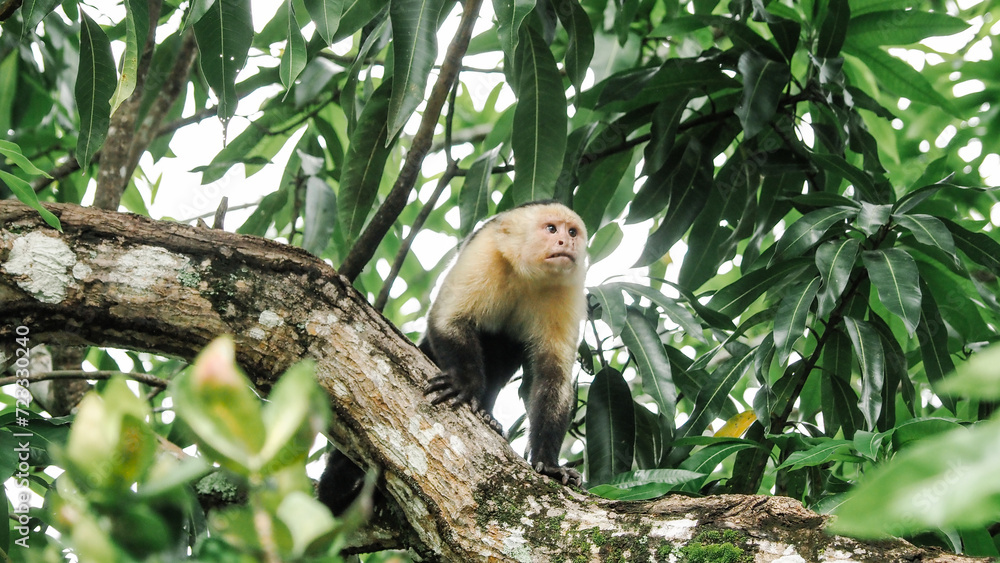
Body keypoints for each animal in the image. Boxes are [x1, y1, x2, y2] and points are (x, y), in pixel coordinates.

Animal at [318, 200, 588, 514]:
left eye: (572, 231)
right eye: (551, 229)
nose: (566, 241)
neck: (528, 276)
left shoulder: (569, 288)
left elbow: (553, 376)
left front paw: (550, 466)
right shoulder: (485, 251)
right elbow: (449, 319)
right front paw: (465, 384)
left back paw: (488, 416)